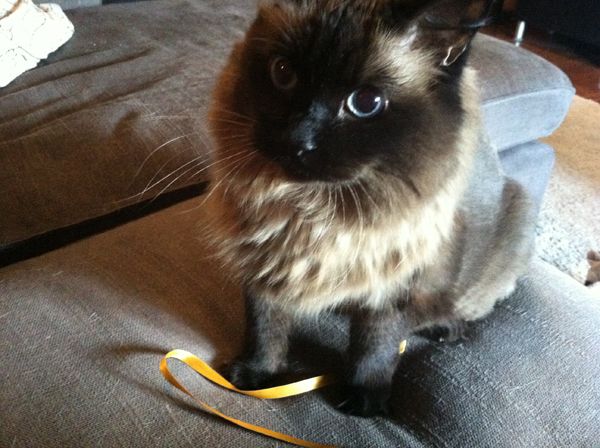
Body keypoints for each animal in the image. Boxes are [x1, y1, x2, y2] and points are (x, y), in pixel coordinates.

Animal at [204, 0, 532, 416]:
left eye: (365, 103)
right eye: (283, 73)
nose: (297, 141)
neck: (311, 212)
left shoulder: (394, 286)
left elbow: (375, 347)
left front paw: (365, 399)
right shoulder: (263, 261)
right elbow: (265, 329)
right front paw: (255, 375)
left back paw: (446, 328)